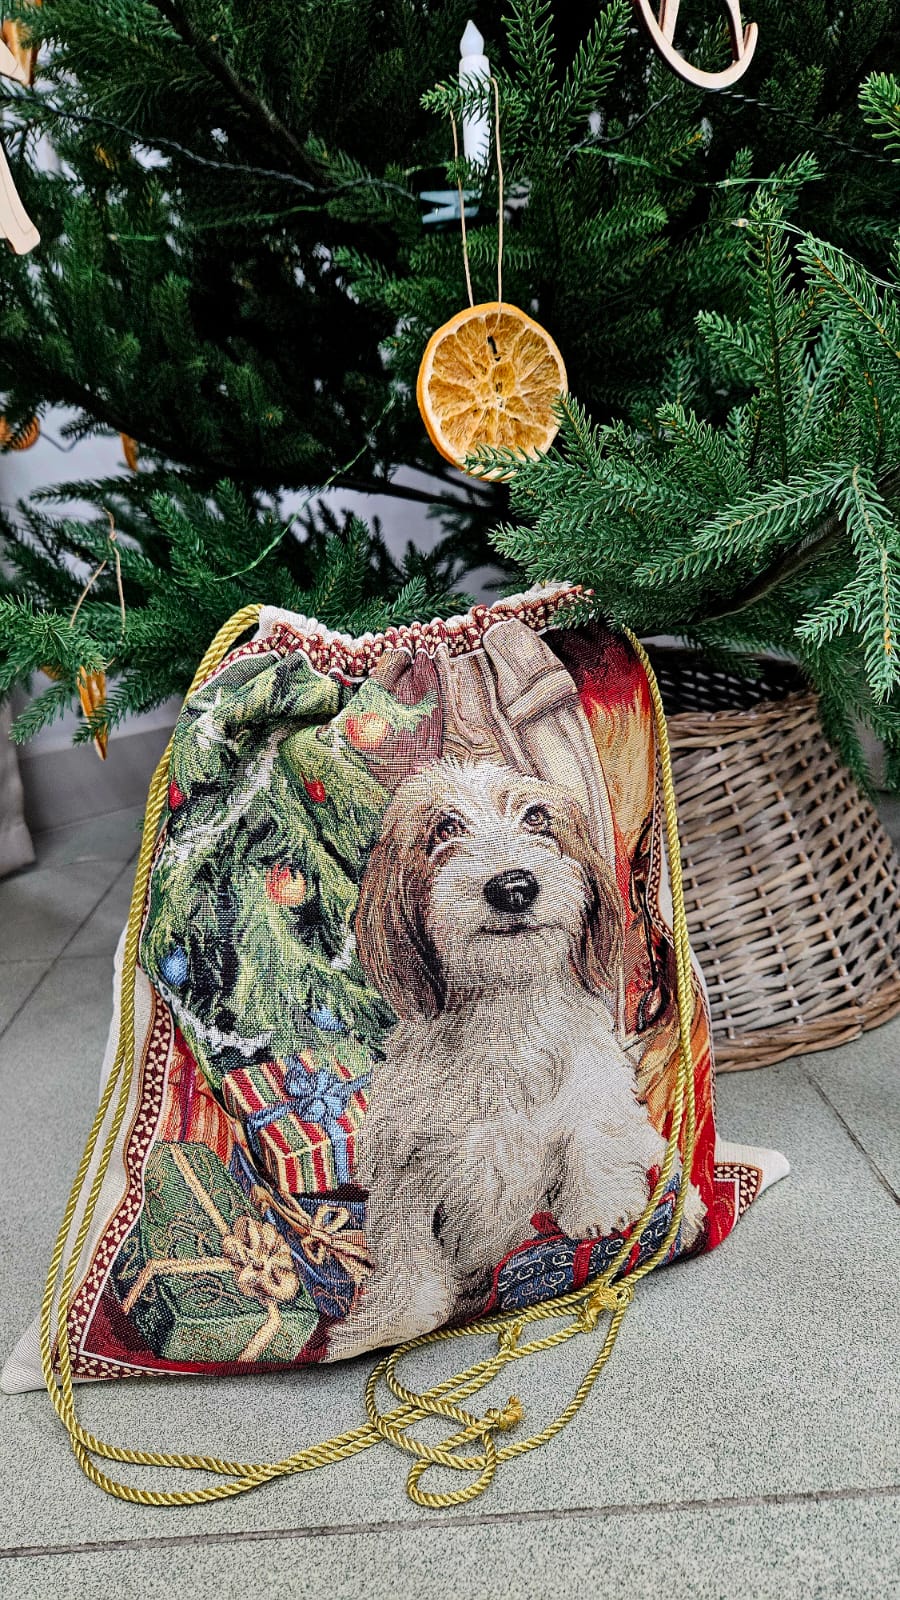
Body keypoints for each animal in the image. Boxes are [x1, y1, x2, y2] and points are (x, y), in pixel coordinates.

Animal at [326, 759, 705, 1359]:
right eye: (445, 828)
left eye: (537, 818)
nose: (512, 886)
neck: (505, 1018)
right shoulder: (405, 1173)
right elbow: (407, 1261)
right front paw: (387, 1324)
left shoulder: (601, 1096)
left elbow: (592, 1135)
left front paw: (598, 1207)